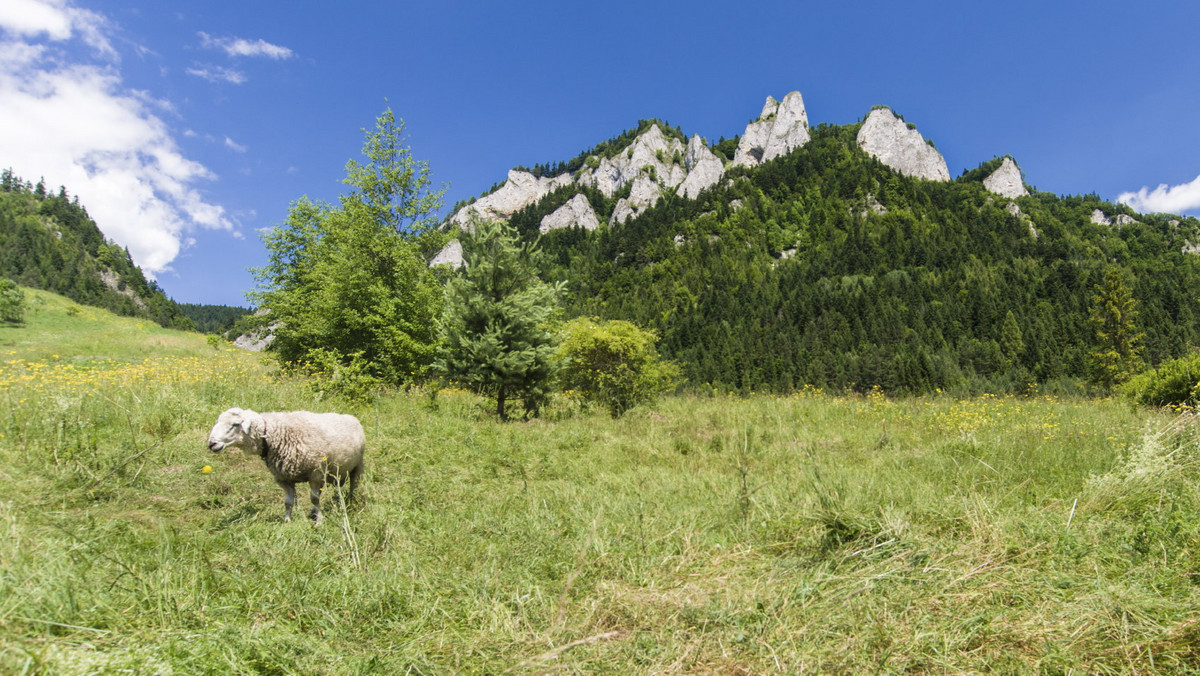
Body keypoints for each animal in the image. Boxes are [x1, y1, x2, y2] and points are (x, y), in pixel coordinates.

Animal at [207, 408, 364, 523]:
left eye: (235, 425)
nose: (211, 444)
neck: (271, 435)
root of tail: (350, 417)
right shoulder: (283, 478)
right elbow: (288, 502)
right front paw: (287, 521)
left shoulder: (315, 473)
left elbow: (314, 499)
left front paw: (319, 521)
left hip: (357, 466)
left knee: (354, 485)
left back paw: (352, 502)